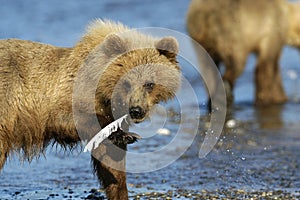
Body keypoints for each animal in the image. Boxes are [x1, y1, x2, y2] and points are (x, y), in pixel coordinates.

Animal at [0, 19, 180, 200]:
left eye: (149, 84)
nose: (136, 110)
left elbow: (111, 160)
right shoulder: (64, 96)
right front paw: (123, 134)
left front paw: (119, 189)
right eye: (126, 83)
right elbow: (70, 119)